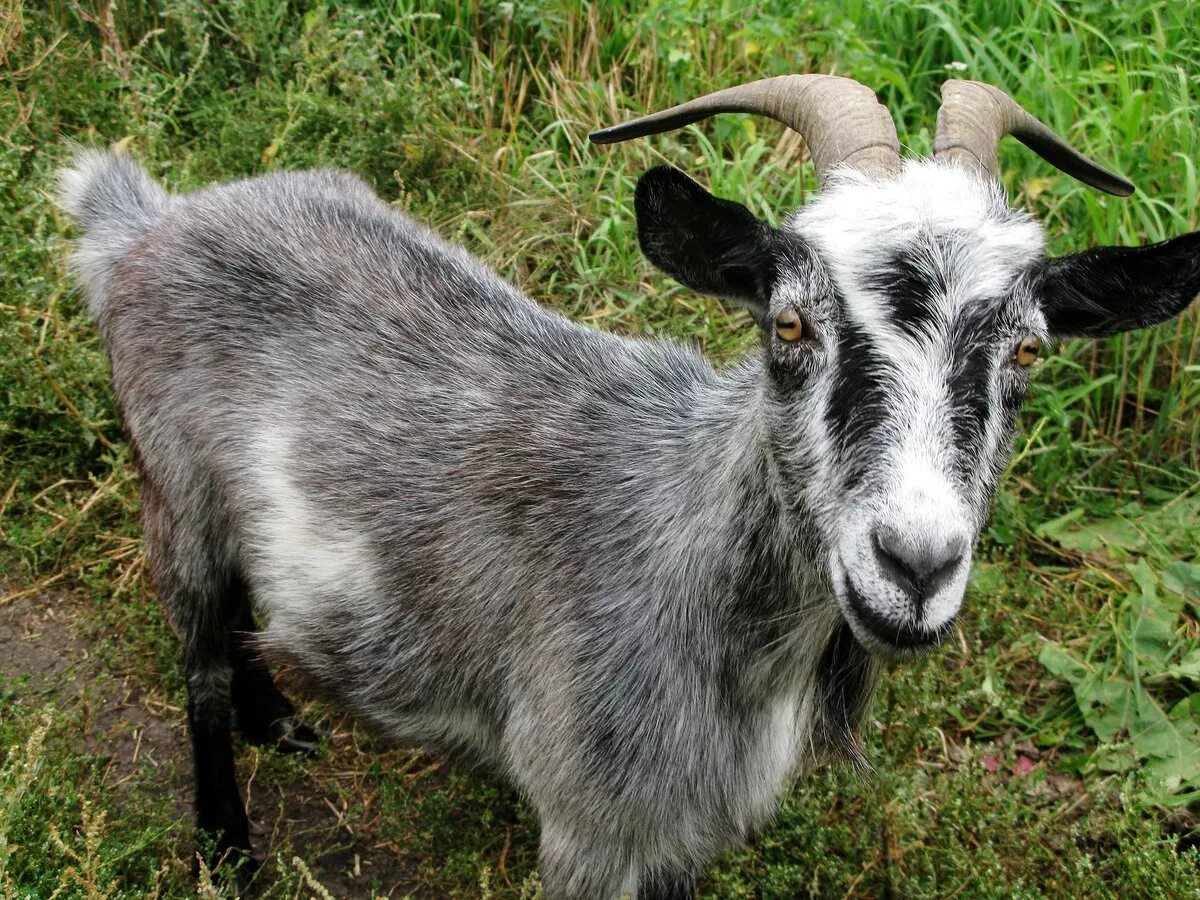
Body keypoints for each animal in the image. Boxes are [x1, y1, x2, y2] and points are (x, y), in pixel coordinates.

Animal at [58, 75, 1200, 897]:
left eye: (1028, 352)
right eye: (789, 323)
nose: (914, 565)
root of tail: (148, 224)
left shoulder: (677, 837)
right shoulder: (588, 830)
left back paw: (276, 716)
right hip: (174, 491)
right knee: (199, 662)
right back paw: (228, 846)